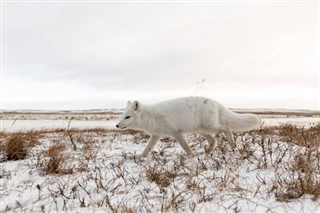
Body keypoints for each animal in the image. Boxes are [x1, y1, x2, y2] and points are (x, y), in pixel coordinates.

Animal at [116, 96, 262, 156]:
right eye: (123, 115)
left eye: (127, 117)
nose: (117, 125)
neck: (150, 117)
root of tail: (216, 103)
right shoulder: (156, 135)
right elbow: (147, 149)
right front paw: (141, 158)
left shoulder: (176, 132)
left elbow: (185, 147)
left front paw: (191, 156)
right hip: (201, 130)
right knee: (214, 140)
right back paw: (207, 152)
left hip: (209, 127)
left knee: (227, 128)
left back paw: (233, 146)